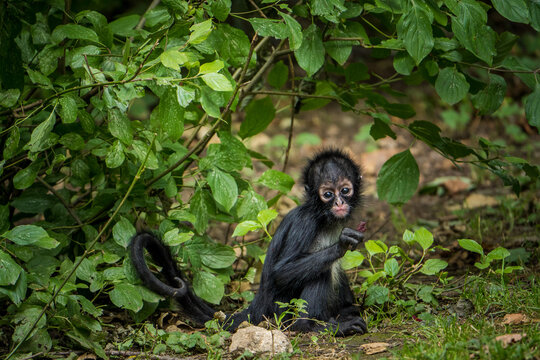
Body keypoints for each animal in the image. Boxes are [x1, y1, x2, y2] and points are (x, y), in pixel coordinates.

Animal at [131, 148, 368, 334]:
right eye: (327, 194)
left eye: (345, 190)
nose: (339, 202)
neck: (323, 217)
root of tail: (259, 305)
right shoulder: (305, 222)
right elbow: (281, 274)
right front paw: (341, 245)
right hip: (280, 308)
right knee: (323, 271)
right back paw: (312, 326)